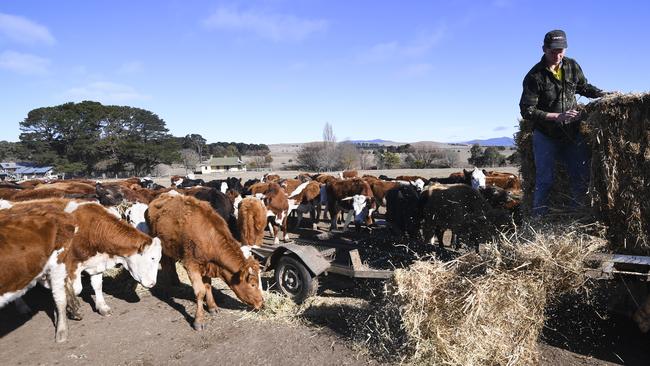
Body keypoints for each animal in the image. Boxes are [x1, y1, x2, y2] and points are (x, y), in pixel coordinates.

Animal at [146, 193, 262, 330]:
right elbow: (200, 291)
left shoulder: (207, 265)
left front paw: (212, 307)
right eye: (253, 284)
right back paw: (167, 288)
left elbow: (208, 286)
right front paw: (199, 320)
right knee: (165, 264)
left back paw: (175, 281)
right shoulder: (191, 265)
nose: (261, 302)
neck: (209, 236)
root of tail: (163, 195)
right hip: (160, 246)